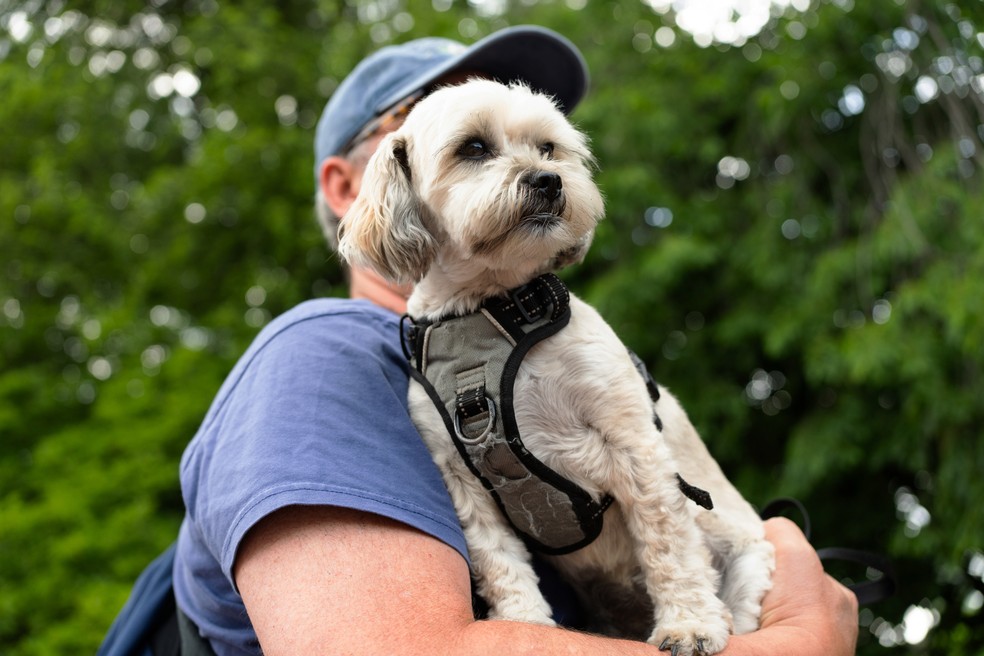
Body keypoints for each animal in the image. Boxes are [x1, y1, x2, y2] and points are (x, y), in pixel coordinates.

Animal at [334, 79, 772, 652]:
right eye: (474, 148)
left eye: (548, 148)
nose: (548, 179)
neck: (493, 310)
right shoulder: (464, 480)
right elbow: (500, 562)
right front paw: (525, 623)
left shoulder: (636, 446)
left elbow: (669, 541)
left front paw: (690, 623)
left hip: (746, 556)